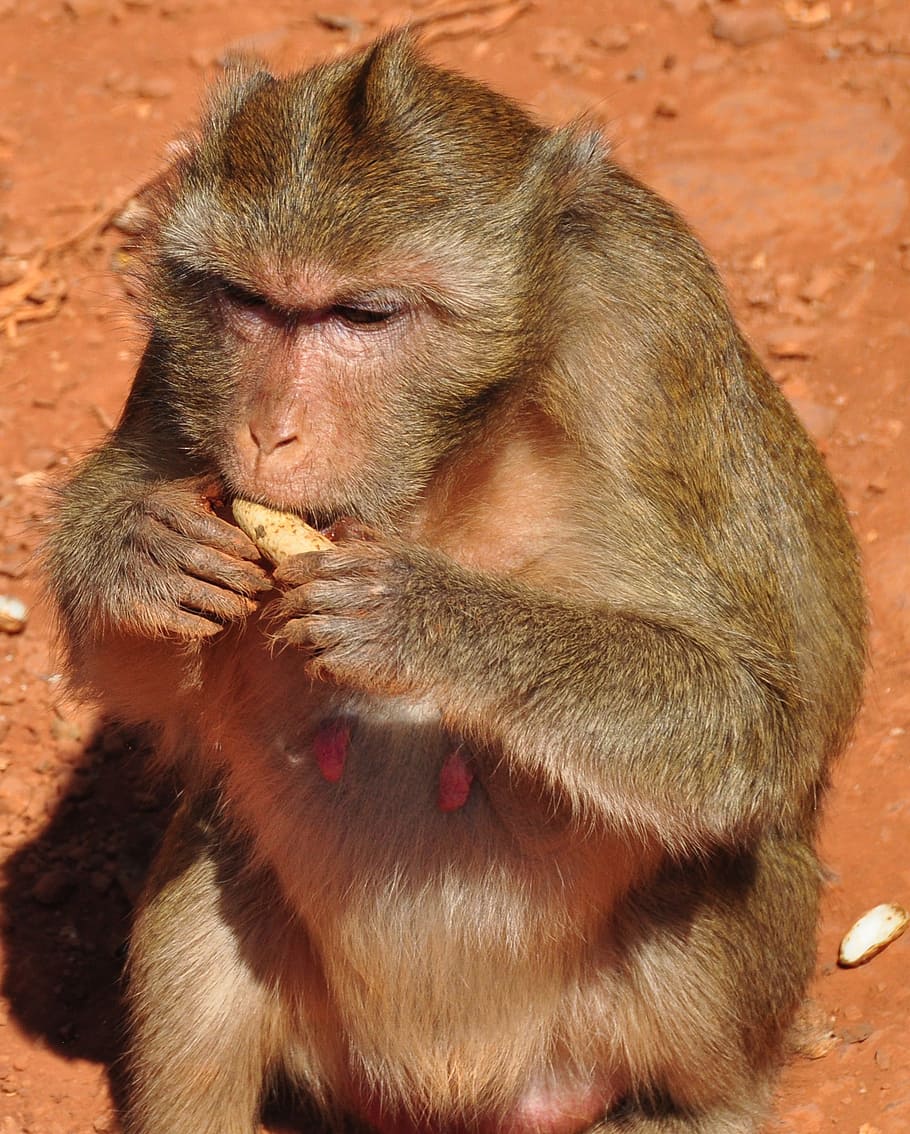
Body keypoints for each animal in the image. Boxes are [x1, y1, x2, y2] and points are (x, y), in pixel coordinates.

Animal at [44, 33, 866, 1134]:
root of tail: (455, 1085)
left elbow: (762, 718)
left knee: (716, 870)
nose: (268, 430)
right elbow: (151, 675)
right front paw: (139, 553)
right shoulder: (181, 359)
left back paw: (692, 1109)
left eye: (362, 314)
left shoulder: (656, 338)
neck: (447, 462)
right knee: (207, 872)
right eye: (247, 303)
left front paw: (426, 618)